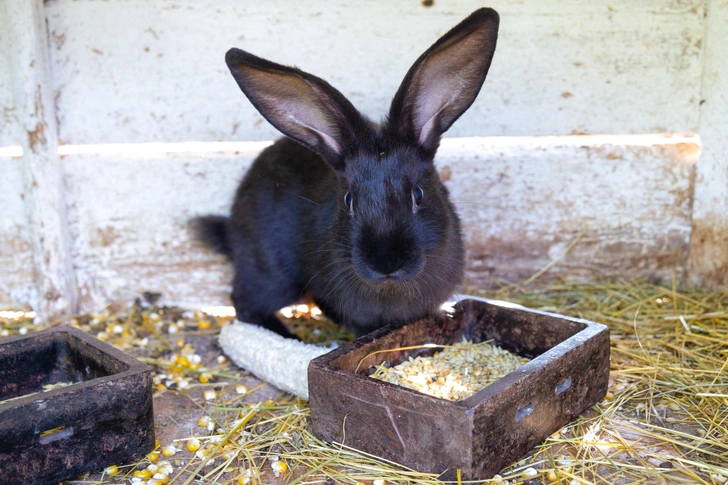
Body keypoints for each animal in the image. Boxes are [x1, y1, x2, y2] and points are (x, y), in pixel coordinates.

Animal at [193, 6, 500, 336]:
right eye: (349, 201)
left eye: (418, 195)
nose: (385, 265)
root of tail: (231, 228)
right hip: (271, 271)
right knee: (247, 304)